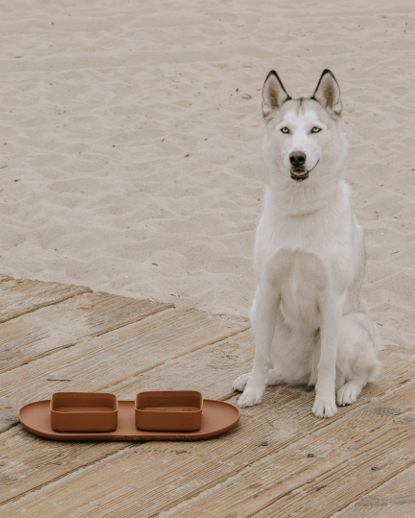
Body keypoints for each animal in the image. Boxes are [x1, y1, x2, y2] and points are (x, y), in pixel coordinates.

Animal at [232, 70, 382, 418]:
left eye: (315, 129)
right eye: (285, 130)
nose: (297, 157)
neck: (301, 209)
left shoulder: (331, 299)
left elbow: (327, 363)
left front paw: (325, 402)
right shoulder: (267, 290)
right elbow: (260, 356)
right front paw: (253, 392)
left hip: (349, 326)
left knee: (361, 373)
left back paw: (345, 392)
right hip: (258, 311)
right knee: (282, 368)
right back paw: (254, 380)